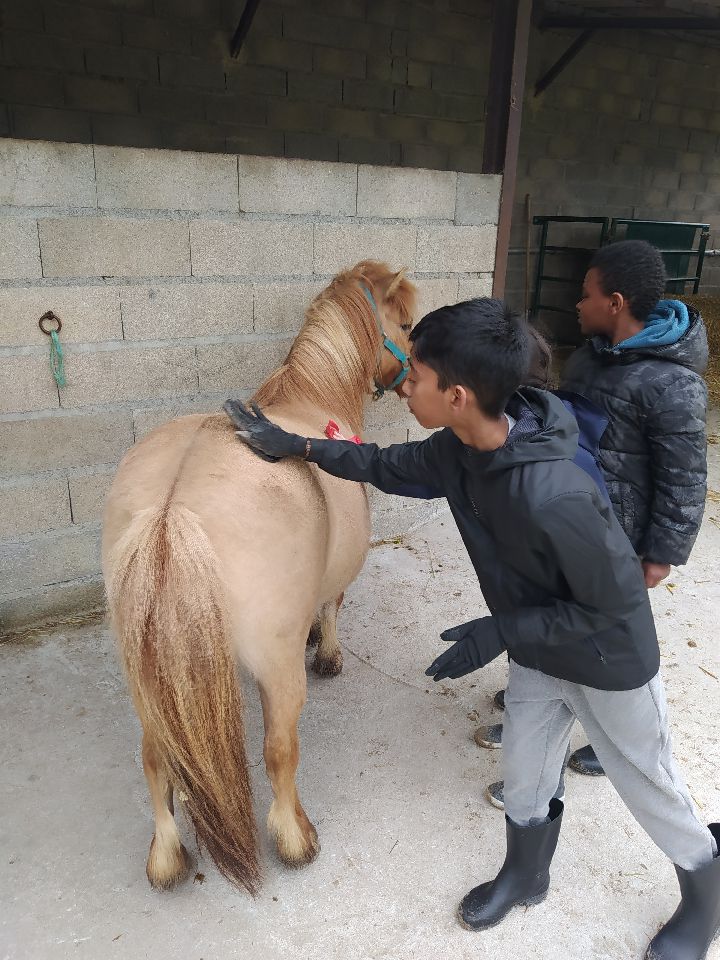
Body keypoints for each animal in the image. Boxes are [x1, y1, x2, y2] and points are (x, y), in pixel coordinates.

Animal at [101, 260, 416, 892]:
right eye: (408, 323)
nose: (414, 374)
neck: (312, 398)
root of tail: (170, 509)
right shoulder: (331, 590)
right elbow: (332, 607)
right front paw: (328, 652)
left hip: (143, 674)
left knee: (154, 755)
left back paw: (166, 858)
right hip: (275, 666)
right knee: (278, 750)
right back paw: (296, 839)